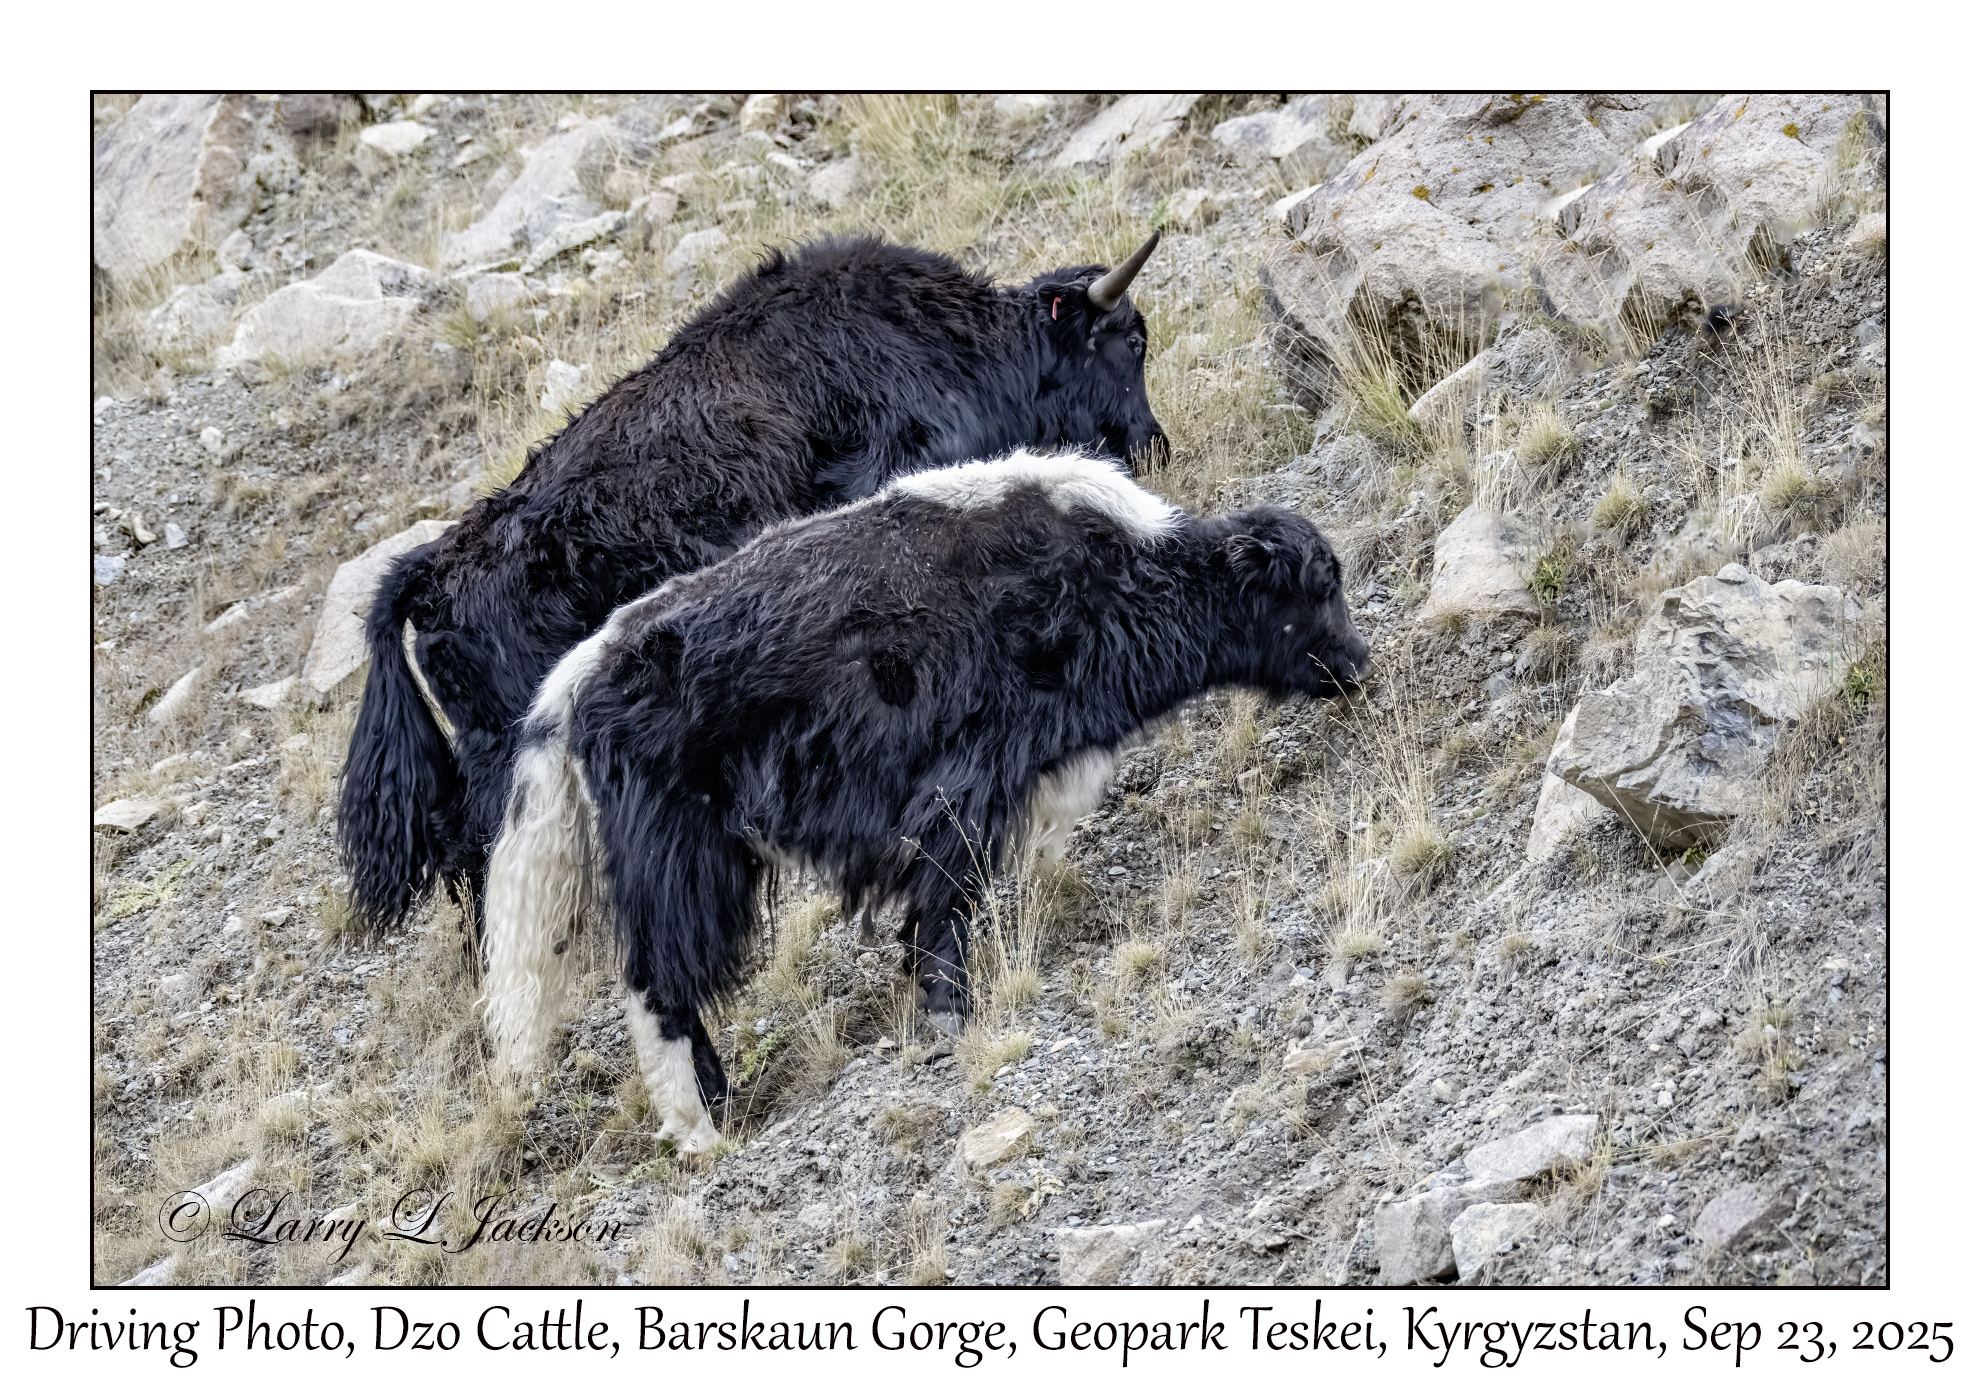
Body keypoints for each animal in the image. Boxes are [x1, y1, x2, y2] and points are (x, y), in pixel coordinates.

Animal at [481, 450, 1369, 1151]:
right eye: (1316, 586)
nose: (1357, 665)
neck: (1111, 573)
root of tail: (572, 686)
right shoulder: (968, 778)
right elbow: (946, 894)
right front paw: (950, 1011)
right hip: (683, 861)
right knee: (658, 984)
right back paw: (701, 1131)